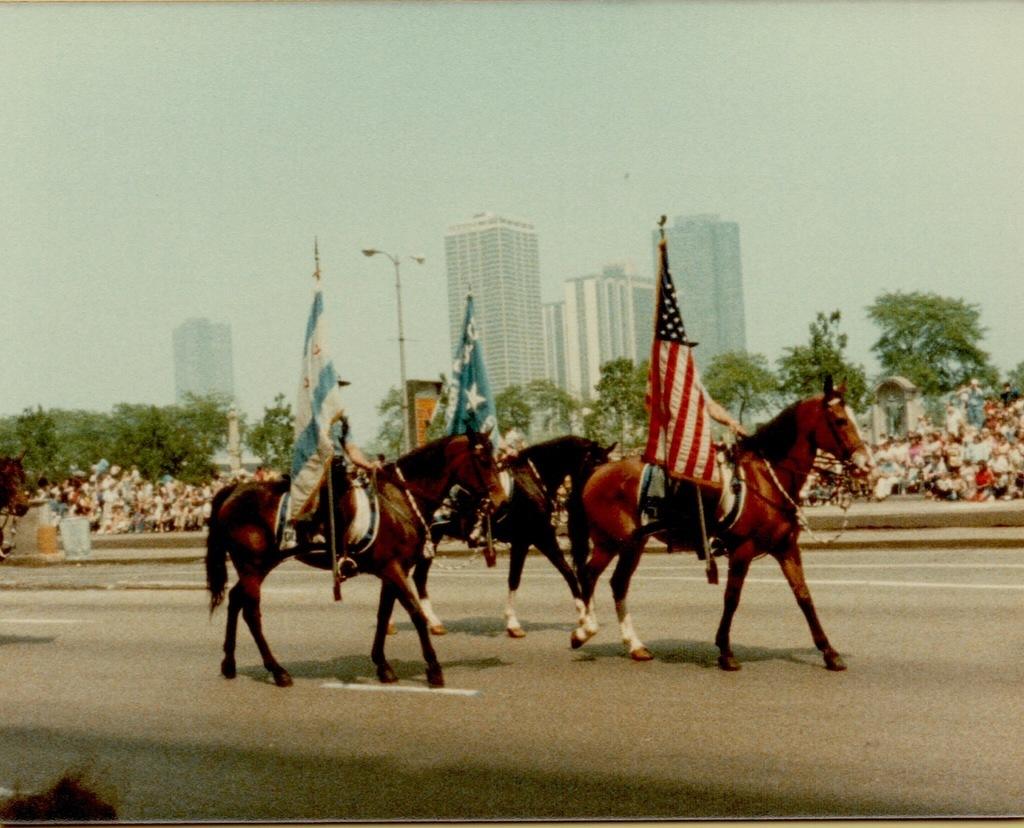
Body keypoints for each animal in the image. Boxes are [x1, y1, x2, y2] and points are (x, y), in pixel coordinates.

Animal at [201, 429, 505, 687]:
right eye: (482, 460)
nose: (500, 501)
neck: (400, 497)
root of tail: (234, 490)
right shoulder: (393, 569)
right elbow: (416, 614)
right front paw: (434, 669)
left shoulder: (392, 571)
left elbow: (384, 615)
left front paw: (382, 665)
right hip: (253, 566)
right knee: (251, 613)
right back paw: (278, 671)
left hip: (257, 567)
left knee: (235, 600)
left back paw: (229, 663)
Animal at [569, 378, 872, 667]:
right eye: (840, 420)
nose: (867, 464)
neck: (766, 479)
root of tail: (599, 470)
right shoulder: (742, 550)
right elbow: (732, 597)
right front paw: (725, 651)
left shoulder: (786, 548)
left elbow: (804, 596)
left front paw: (829, 652)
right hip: (612, 542)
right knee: (588, 575)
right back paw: (584, 630)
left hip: (633, 544)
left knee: (617, 583)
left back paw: (634, 645)